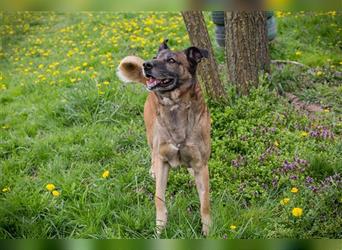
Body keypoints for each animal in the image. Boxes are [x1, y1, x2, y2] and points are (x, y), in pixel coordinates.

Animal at [117, 39, 211, 236]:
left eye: (171, 60)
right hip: (151, 135)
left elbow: (205, 203)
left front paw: (208, 229)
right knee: (152, 151)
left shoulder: (201, 164)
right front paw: (160, 227)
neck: (175, 106)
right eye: (155, 57)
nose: (146, 65)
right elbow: (158, 197)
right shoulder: (163, 160)